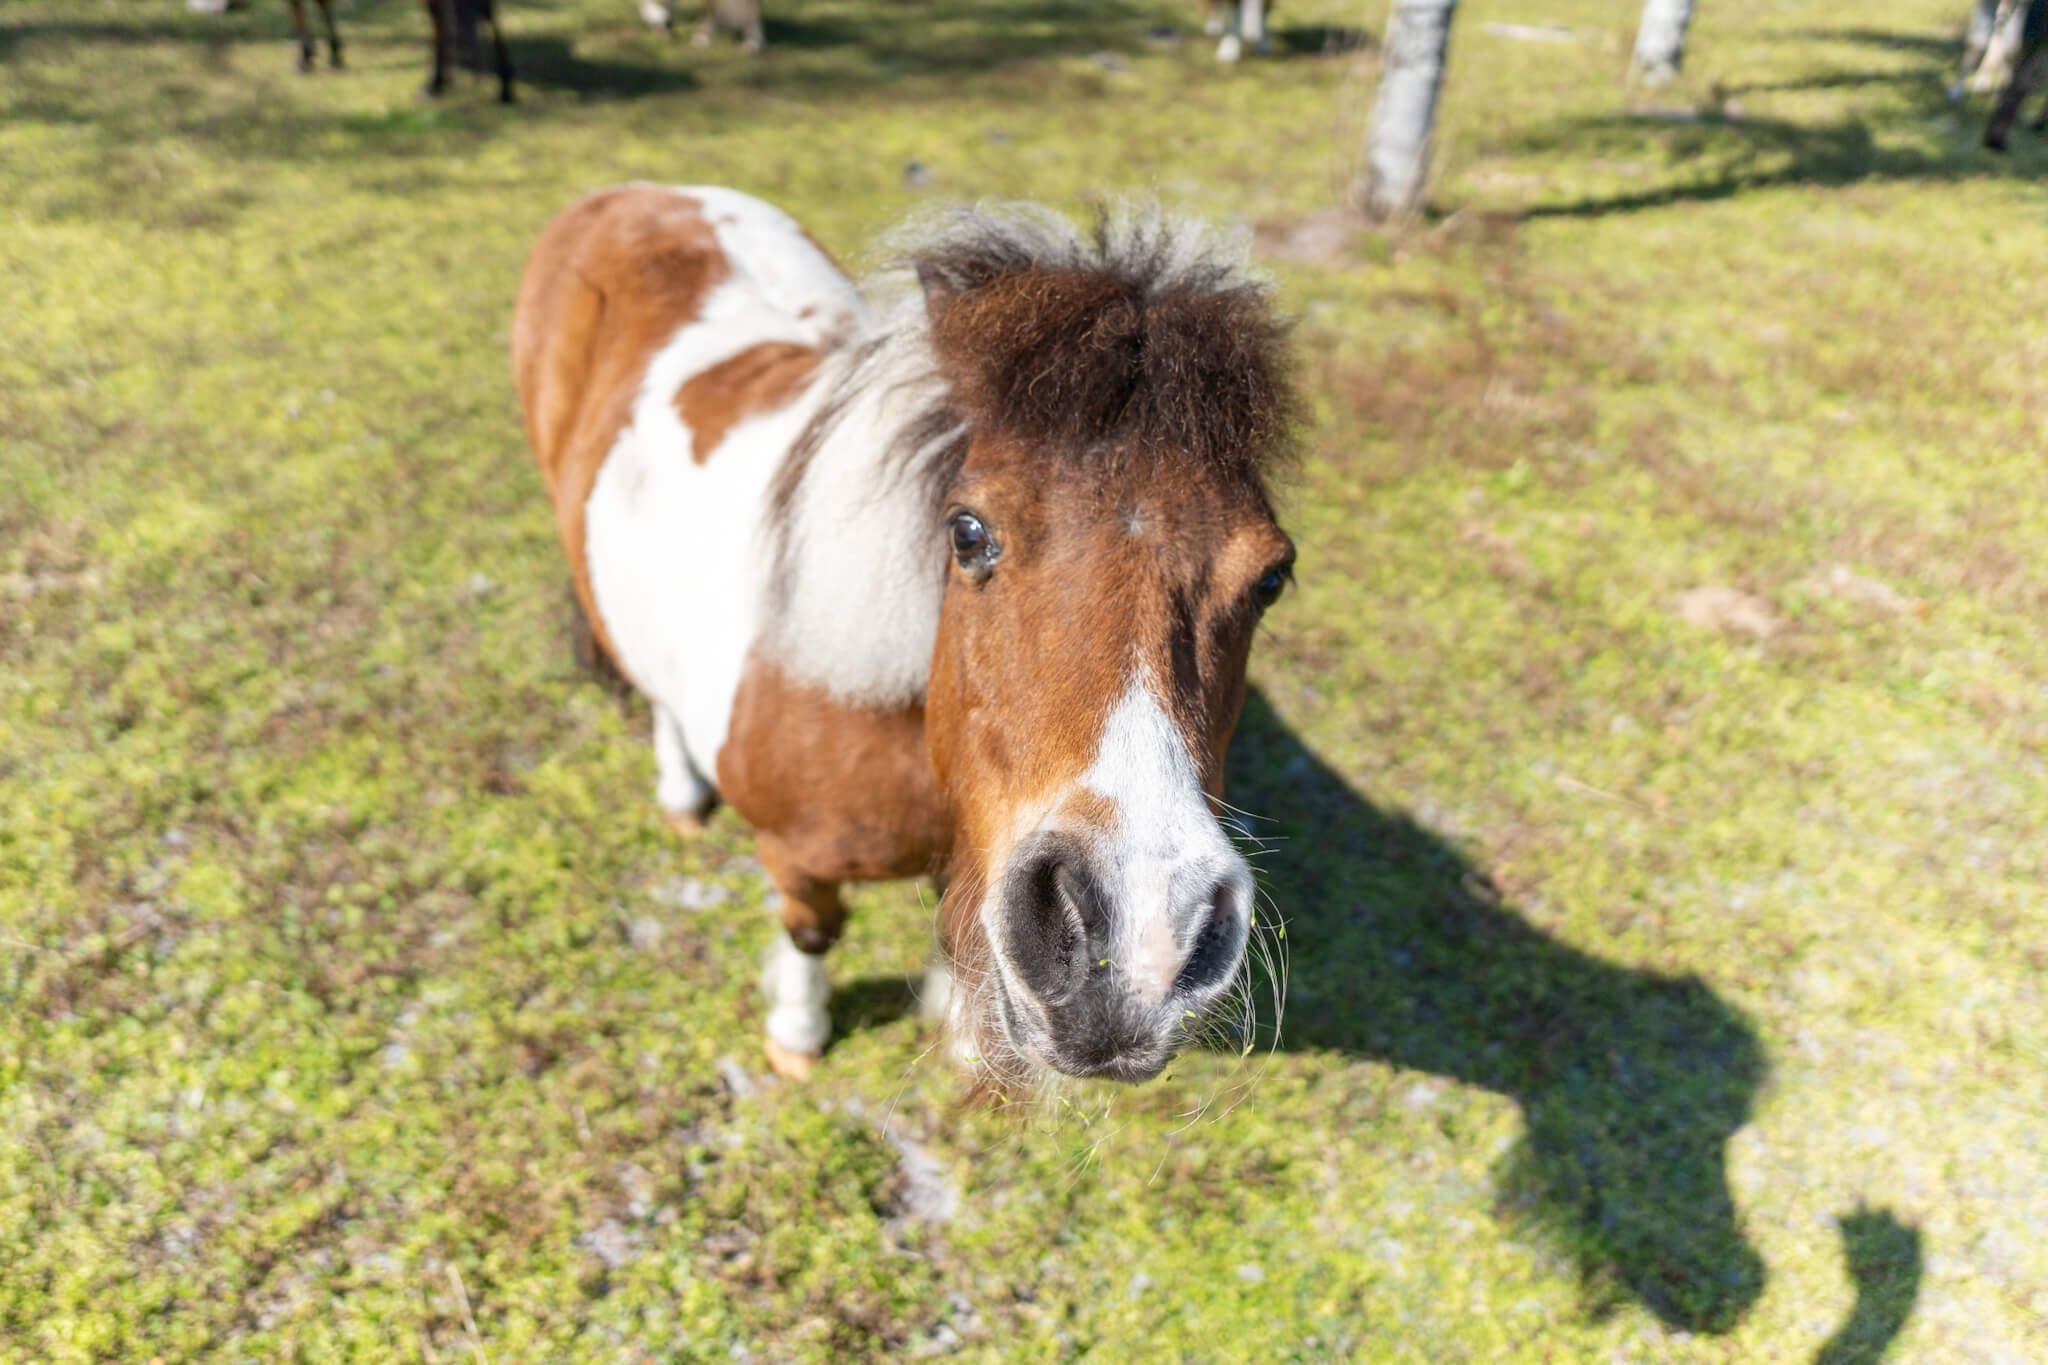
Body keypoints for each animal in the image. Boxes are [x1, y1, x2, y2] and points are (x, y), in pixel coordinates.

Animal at [512, 186, 1297, 1087]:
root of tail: (638, 195)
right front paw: (797, 1034)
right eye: (967, 532)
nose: (1135, 948)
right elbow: (811, 931)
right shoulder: (795, 856)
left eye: (1271, 578)